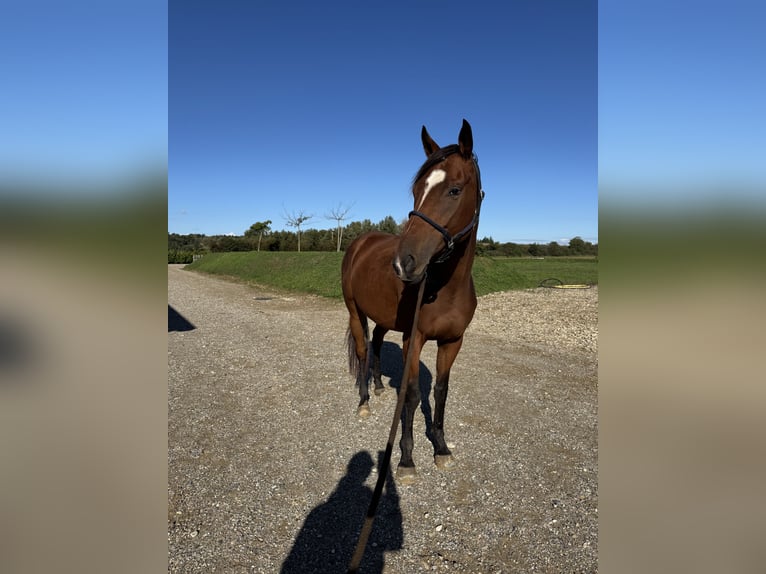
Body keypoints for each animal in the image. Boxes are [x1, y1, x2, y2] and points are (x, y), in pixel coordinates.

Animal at [342, 119, 486, 484]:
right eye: (417, 189)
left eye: (454, 190)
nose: (403, 263)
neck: (443, 287)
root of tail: (361, 241)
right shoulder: (414, 338)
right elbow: (411, 393)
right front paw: (406, 459)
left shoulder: (452, 341)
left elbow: (440, 392)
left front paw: (441, 447)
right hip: (355, 311)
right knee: (363, 348)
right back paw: (364, 400)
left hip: (383, 319)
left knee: (377, 342)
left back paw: (379, 385)